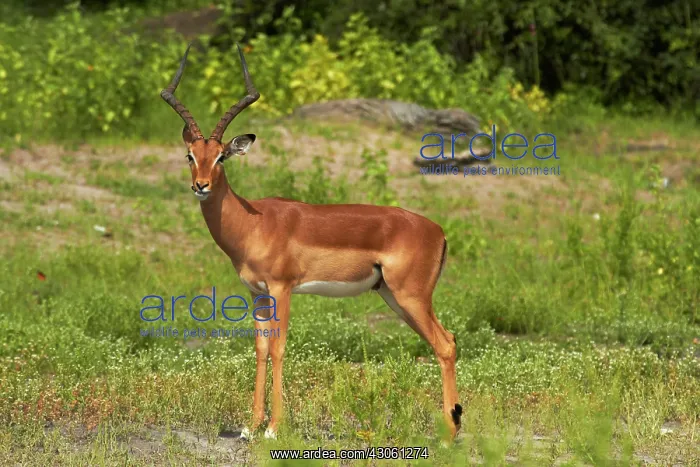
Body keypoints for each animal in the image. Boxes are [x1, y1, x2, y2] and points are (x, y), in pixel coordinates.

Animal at [160, 44, 462, 440]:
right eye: (190, 155)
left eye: (221, 156)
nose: (201, 185)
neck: (253, 222)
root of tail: (437, 231)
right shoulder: (256, 294)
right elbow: (259, 349)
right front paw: (250, 427)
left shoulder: (282, 288)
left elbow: (279, 348)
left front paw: (274, 428)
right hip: (393, 297)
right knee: (446, 341)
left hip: (411, 296)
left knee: (446, 344)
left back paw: (451, 433)